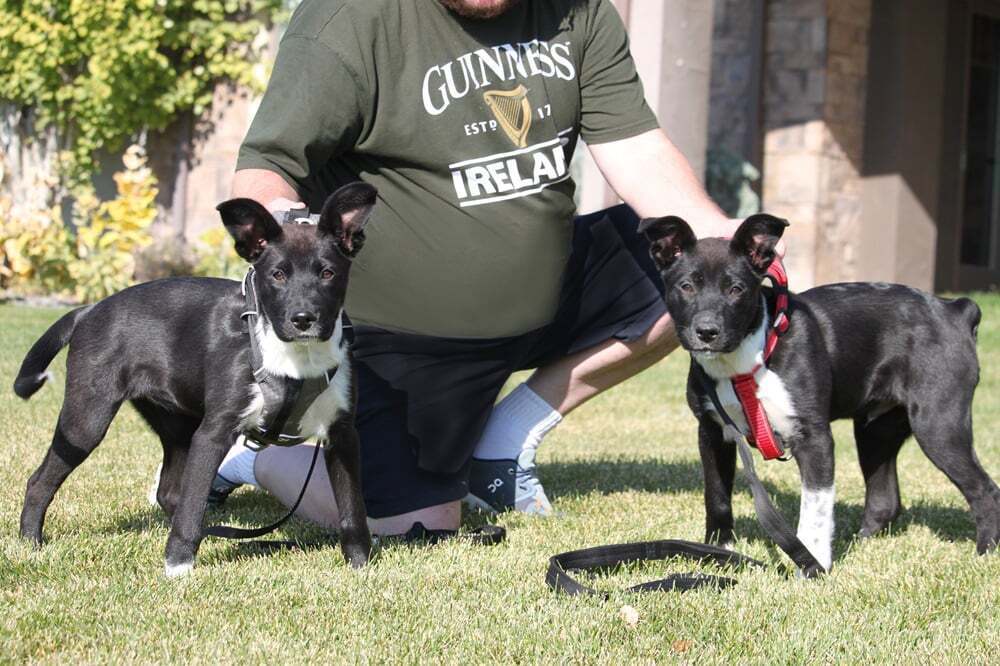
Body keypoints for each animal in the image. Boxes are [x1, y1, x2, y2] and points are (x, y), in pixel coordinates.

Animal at [15, 182, 376, 576]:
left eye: (328, 273)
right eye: (277, 275)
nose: (303, 318)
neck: (297, 360)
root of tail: (89, 309)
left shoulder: (343, 434)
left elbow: (352, 510)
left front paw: (360, 565)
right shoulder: (213, 432)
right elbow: (192, 503)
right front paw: (177, 568)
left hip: (177, 424)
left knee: (170, 491)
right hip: (87, 418)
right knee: (40, 481)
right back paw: (30, 543)